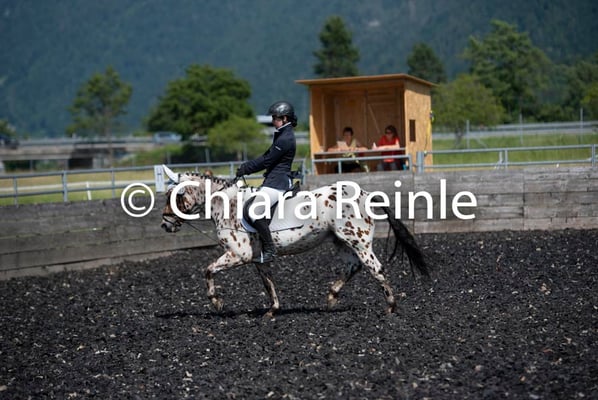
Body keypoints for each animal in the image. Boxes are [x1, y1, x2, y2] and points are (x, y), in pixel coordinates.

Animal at [160, 165, 429, 317]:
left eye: (175, 195)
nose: (165, 224)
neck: (227, 204)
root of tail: (365, 194)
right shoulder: (258, 259)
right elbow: (268, 283)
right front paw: (272, 311)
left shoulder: (239, 255)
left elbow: (208, 271)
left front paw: (216, 303)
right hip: (341, 241)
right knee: (354, 266)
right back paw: (331, 297)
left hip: (359, 242)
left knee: (376, 269)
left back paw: (390, 307)